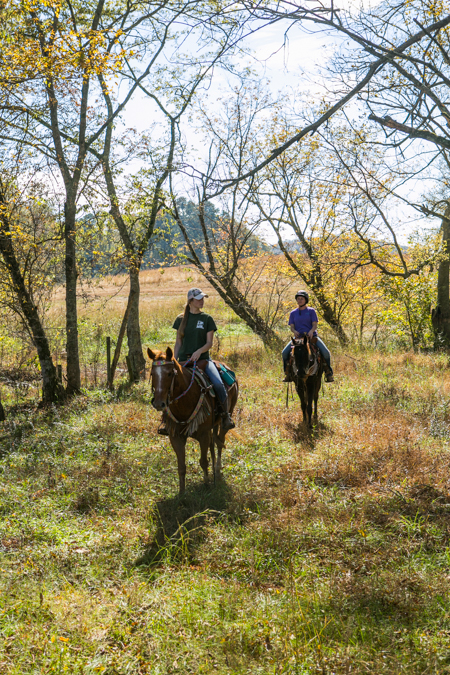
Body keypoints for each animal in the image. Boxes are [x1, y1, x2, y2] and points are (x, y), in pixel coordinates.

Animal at [148, 346, 239, 494]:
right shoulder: (175, 436)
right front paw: (182, 494)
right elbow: (181, 466)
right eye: (152, 374)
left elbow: (203, 461)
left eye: (169, 374)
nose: (158, 404)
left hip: (227, 416)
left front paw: (207, 485)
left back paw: (217, 470)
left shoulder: (203, 435)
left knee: (220, 442)